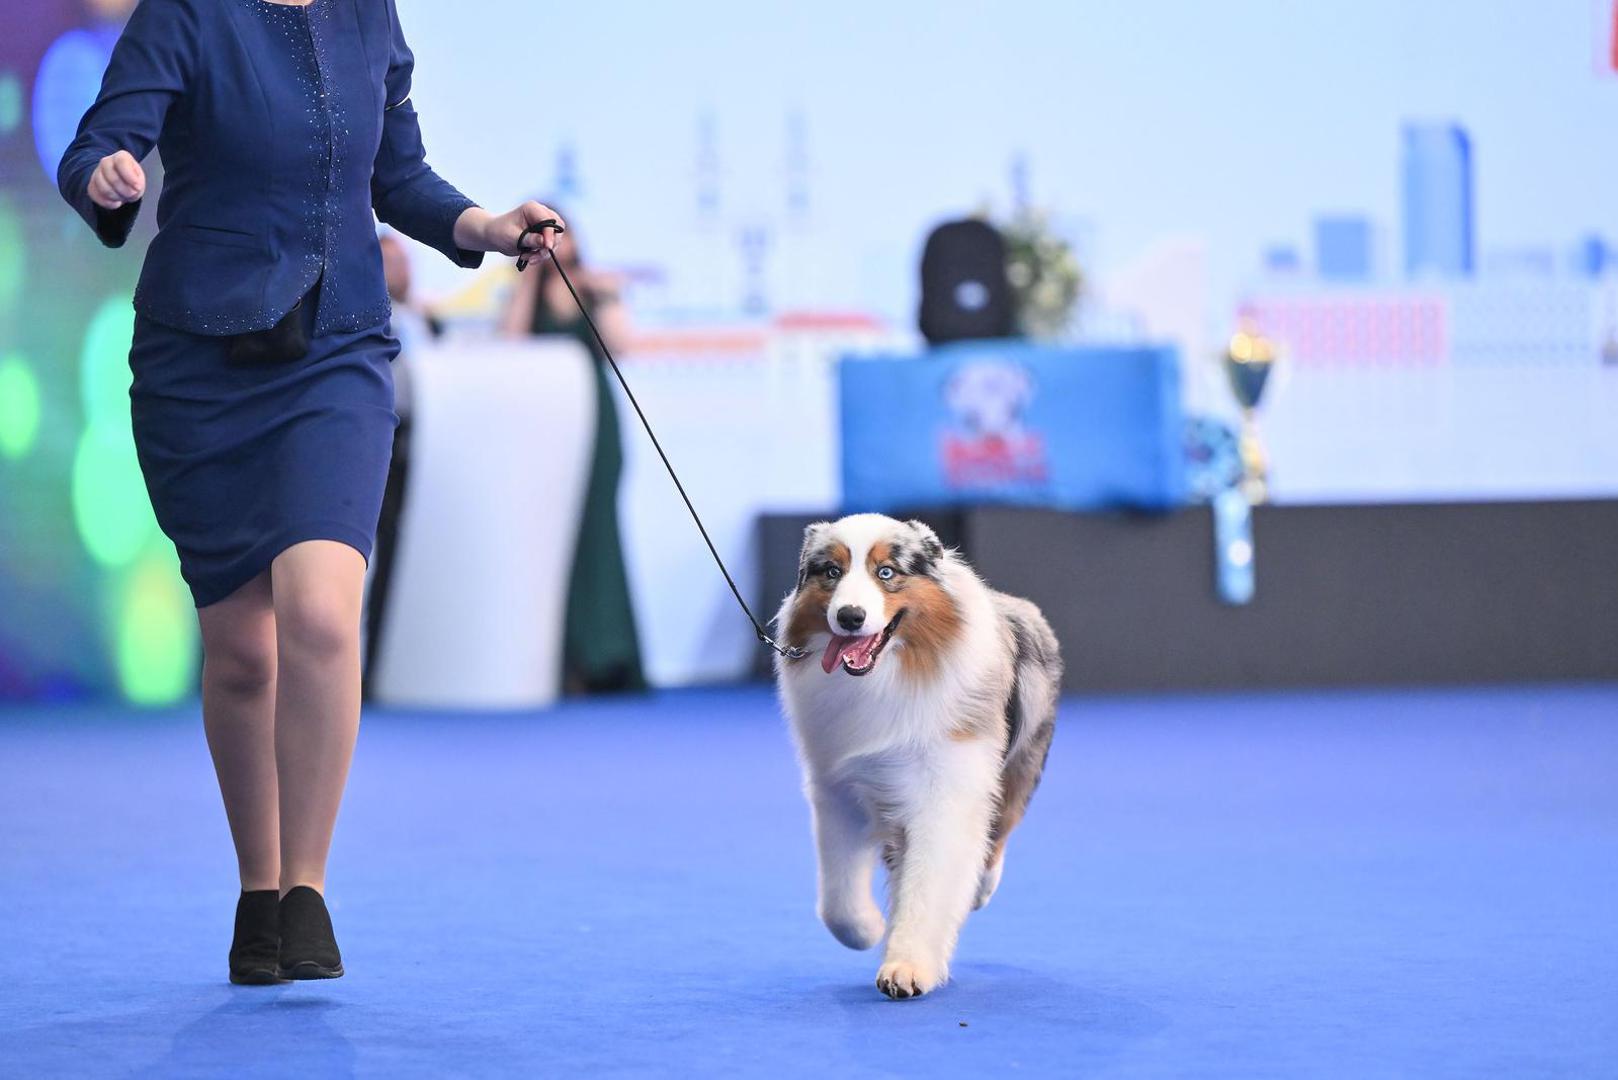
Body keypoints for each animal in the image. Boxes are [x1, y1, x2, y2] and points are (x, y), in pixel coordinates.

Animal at [773, 511, 1061, 1003]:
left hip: (1024, 759)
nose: (849, 616)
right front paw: (868, 930)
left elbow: (930, 886)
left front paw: (907, 968)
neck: (886, 674)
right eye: (831, 572)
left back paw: (981, 888)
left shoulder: (946, 791)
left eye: (886, 573)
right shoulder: (839, 790)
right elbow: (837, 900)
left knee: (1000, 830)